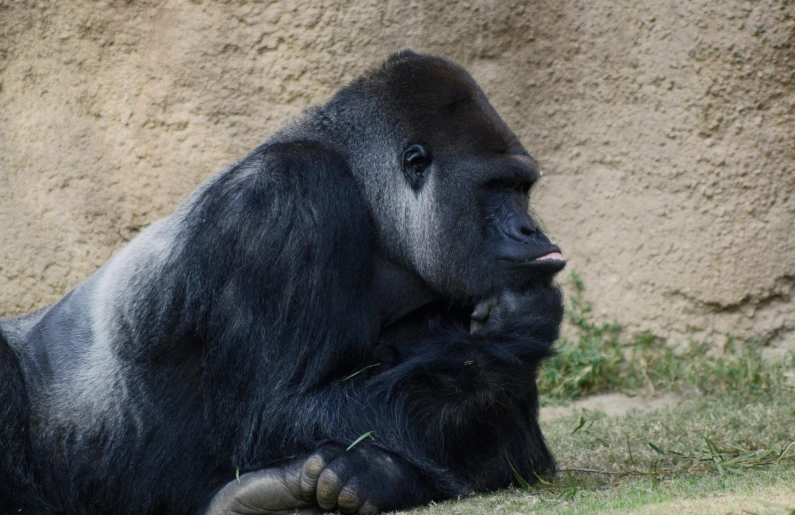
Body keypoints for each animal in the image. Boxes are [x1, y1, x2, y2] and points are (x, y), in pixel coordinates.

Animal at [0, 49, 564, 515]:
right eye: (495, 187)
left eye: (522, 188)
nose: (531, 231)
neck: (369, 195)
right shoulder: (289, 204)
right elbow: (274, 411)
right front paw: (519, 330)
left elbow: (511, 448)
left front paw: (375, 474)